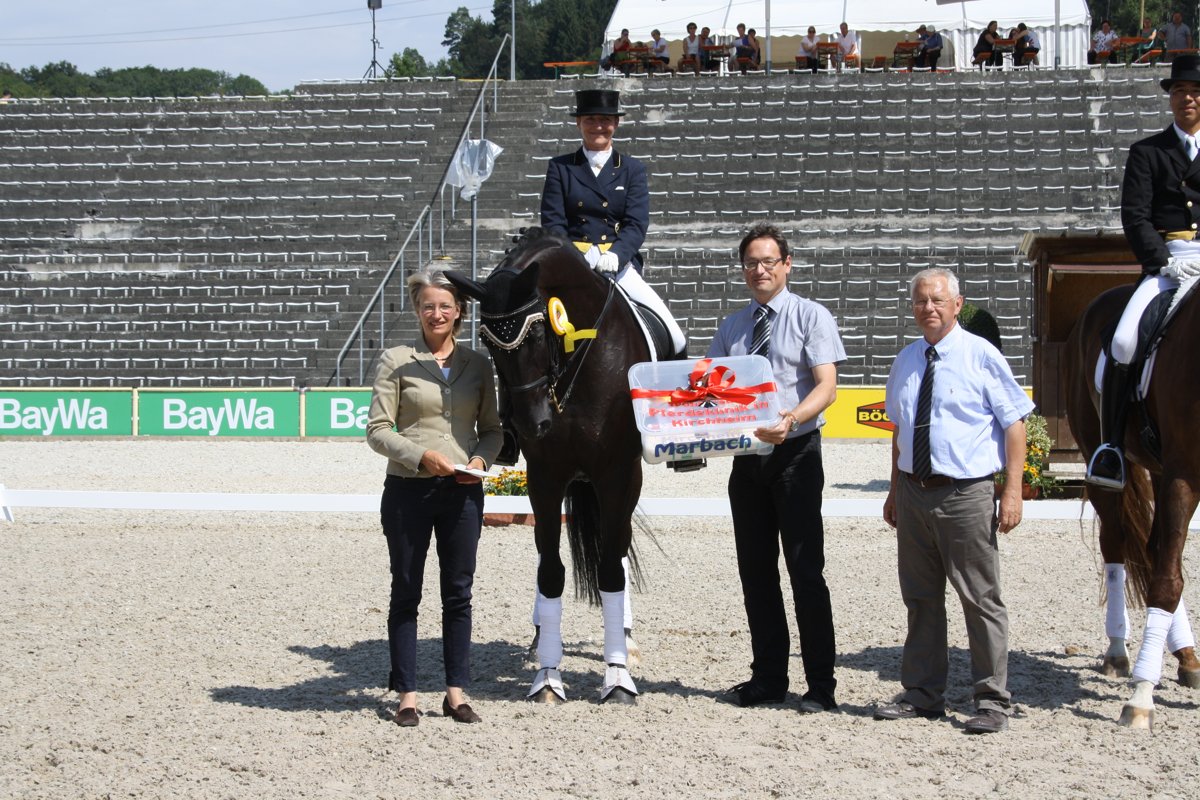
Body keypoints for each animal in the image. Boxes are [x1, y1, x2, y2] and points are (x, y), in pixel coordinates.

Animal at [451, 227, 652, 705]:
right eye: (489, 344)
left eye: (538, 333)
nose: (531, 424)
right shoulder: (545, 476)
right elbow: (550, 570)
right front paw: (547, 676)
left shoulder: (617, 474)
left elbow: (611, 568)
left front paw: (617, 678)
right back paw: (541, 635)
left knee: (616, 552)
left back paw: (626, 640)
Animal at [1070, 284, 1200, 729]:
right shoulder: (1185, 473)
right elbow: (1166, 582)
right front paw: (1142, 698)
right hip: (1101, 451)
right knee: (1119, 544)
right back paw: (1118, 652)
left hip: (1160, 469)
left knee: (1156, 549)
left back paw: (1186, 657)